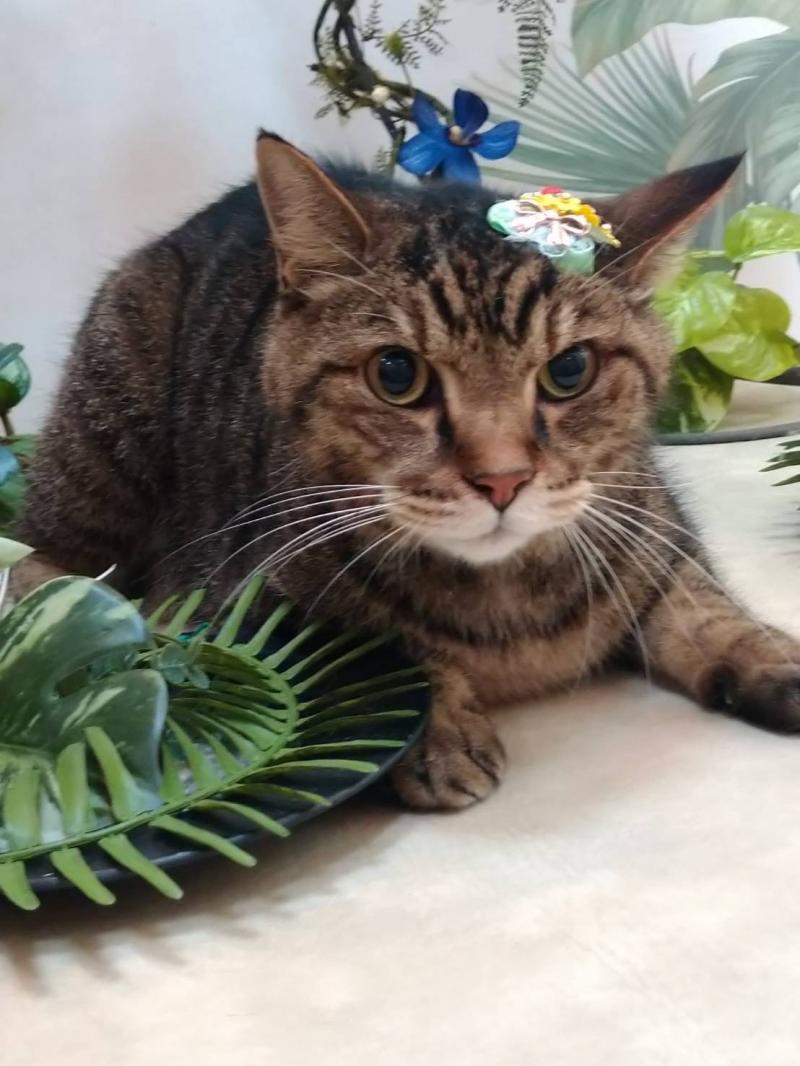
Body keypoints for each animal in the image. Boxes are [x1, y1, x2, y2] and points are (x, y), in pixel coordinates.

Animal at [16, 132, 800, 809]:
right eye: (397, 374)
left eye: (570, 370)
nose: (501, 480)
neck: (509, 604)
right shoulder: (228, 596)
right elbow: (378, 638)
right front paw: (441, 726)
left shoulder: (654, 529)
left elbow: (705, 606)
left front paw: (770, 657)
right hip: (105, 437)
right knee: (39, 568)